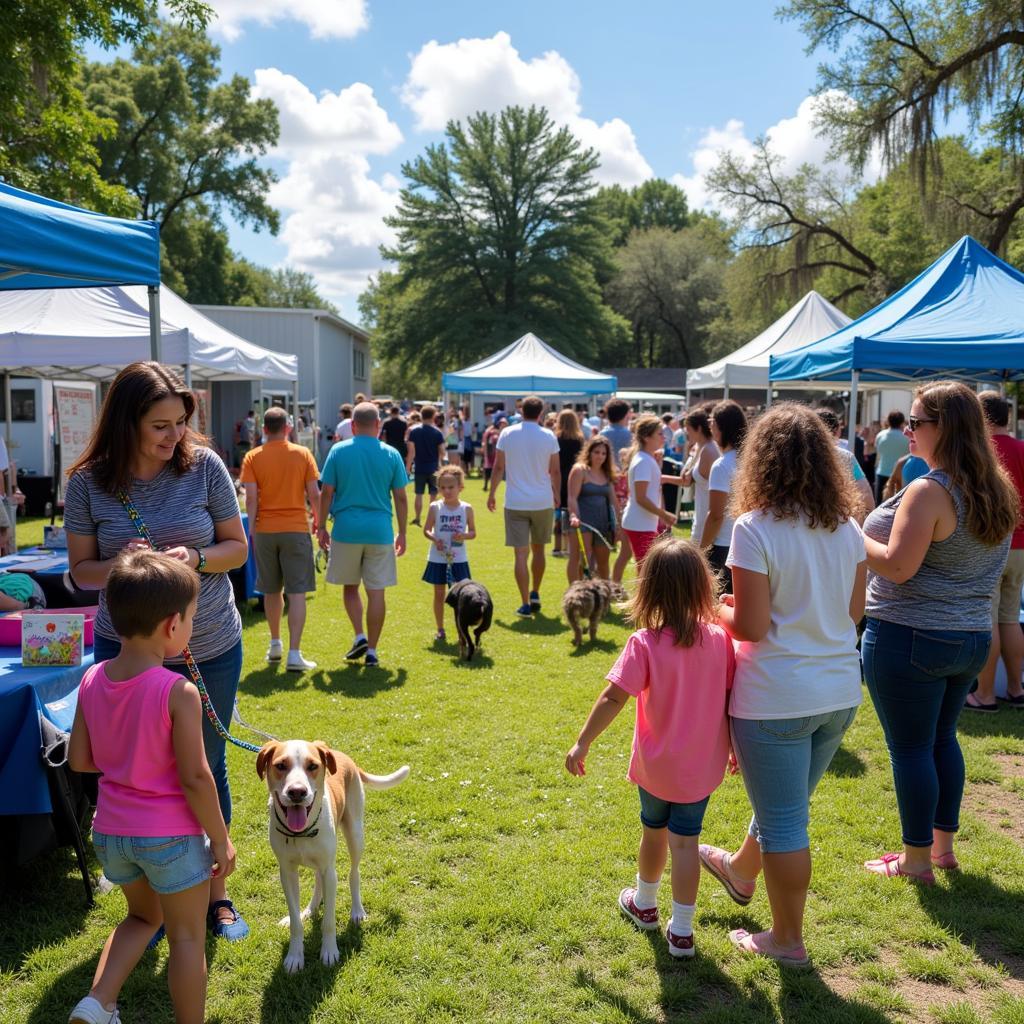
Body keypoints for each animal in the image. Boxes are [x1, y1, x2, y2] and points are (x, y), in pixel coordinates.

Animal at [256, 741, 407, 970]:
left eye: (312, 766)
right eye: (280, 765)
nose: (297, 792)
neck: (301, 833)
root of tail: (344, 756)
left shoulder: (330, 871)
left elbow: (328, 921)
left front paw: (329, 952)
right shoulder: (287, 872)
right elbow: (295, 922)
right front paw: (295, 956)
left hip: (355, 834)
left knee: (354, 873)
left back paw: (357, 912)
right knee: (318, 881)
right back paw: (309, 910)